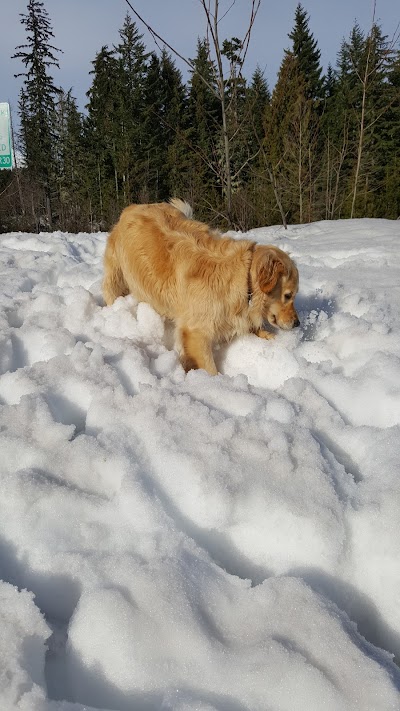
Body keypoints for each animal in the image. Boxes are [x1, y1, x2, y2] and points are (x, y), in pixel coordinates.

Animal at [103, 199, 300, 376]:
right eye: (288, 295)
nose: (297, 323)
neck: (244, 280)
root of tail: (132, 208)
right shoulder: (196, 331)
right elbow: (208, 367)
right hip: (116, 277)